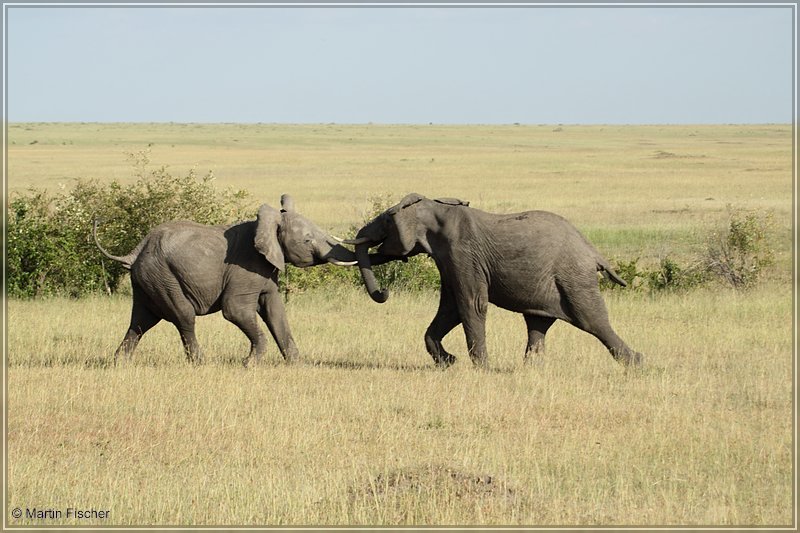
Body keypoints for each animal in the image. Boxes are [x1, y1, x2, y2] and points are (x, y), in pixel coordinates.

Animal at [94, 194, 356, 366]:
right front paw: (249, 365)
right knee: (183, 316)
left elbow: (275, 311)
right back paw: (200, 363)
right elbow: (235, 310)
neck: (267, 224)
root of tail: (135, 251)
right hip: (162, 275)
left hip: (147, 280)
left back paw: (120, 364)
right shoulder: (245, 269)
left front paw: (297, 365)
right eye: (307, 240)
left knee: (142, 320)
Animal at [348, 192, 644, 370]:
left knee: (591, 319)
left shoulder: (463, 253)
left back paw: (636, 364)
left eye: (387, 220)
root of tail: (593, 251)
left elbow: (471, 304)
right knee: (538, 322)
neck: (436, 207)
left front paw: (481, 368)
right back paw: (531, 370)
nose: (384, 292)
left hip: (574, 277)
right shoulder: (449, 260)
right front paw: (448, 363)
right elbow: (451, 308)